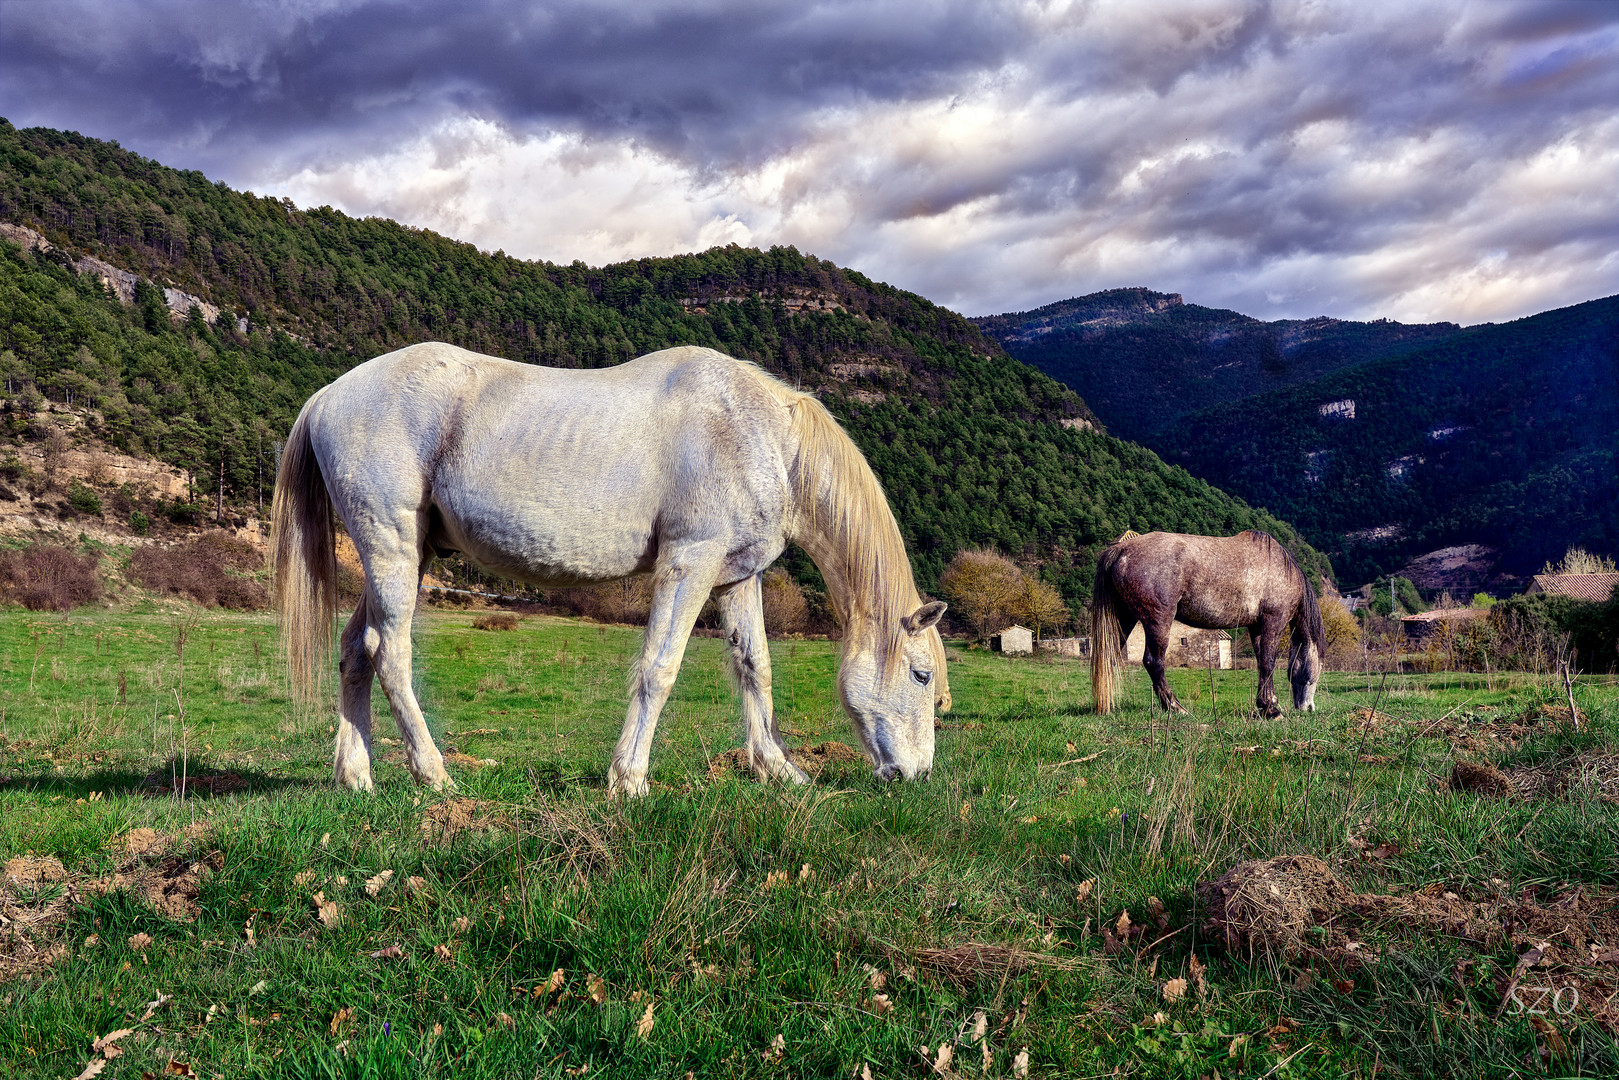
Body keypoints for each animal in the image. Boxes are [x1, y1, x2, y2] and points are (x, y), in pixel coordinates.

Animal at [268, 341, 945, 799]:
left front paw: (779, 770)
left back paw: (356, 776)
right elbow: (658, 670)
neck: (758, 435)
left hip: (408, 556)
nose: (914, 774)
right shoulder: (689, 563)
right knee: (390, 654)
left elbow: (755, 668)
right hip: (392, 549)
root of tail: (327, 397)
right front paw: (630, 779)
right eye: (920, 675)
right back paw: (433, 774)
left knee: (356, 649)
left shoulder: (735, 576)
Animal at [1087, 531, 1327, 718]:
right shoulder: (1272, 622)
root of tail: (1120, 550)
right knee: (1153, 661)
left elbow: (1261, 662)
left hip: (1125, 619)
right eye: (1317, 668)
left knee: (1111, 656)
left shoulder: (1256, 627)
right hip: (1158, 620)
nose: (1308, 707)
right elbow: (1268, 662)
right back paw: (1176, 708)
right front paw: (1271, 709)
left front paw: (1265, 704)